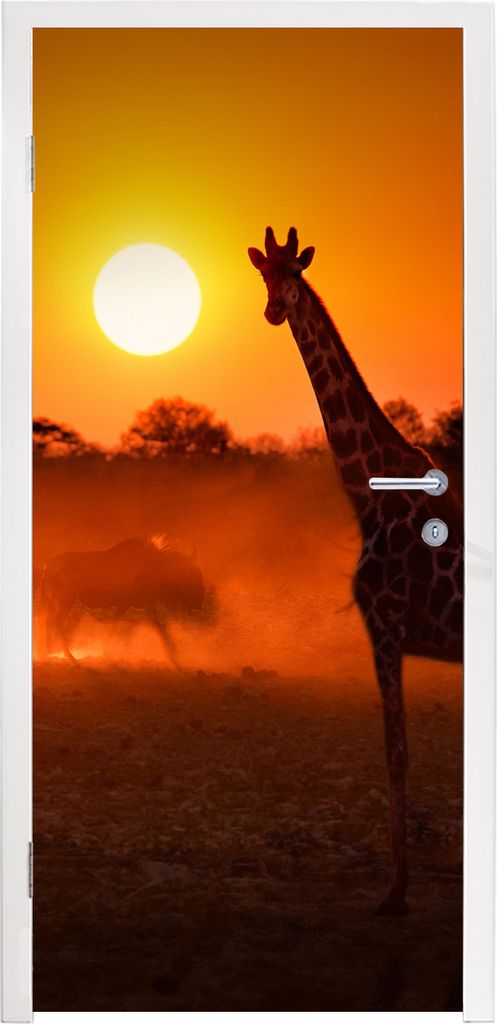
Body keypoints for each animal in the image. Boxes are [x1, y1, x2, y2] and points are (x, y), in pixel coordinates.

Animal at [248, 226, 463, 915]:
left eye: (295, 273)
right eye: (264, 275)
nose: (275, 310)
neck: (368, 494)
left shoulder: (386, 625)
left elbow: (397, 752)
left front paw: (395, 893)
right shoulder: (385, 631)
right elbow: (395, 751)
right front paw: (397, 887)